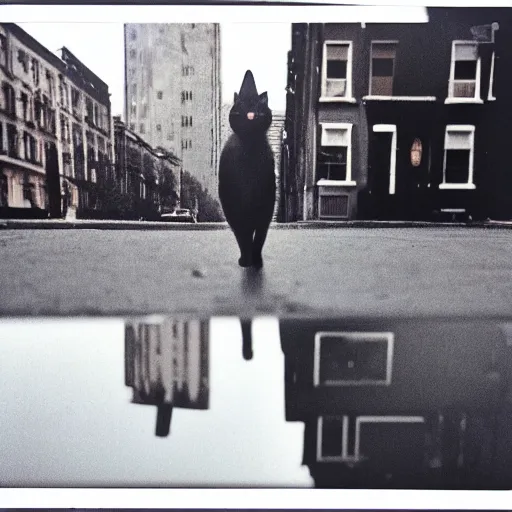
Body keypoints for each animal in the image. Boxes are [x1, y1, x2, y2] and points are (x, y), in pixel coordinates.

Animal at [219, 70, 276, 270]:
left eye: (258, 110)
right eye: (243, 109)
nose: (251, 116)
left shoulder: (266, 205)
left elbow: (260, 237)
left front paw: (256, 260)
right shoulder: (234, 207)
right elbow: (242, 236)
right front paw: (246, 260)